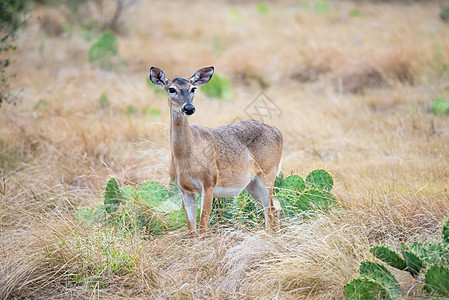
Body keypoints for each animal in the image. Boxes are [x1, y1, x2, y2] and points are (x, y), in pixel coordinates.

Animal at [150, 67, 284, 236]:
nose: (189, 108)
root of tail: (278, 131)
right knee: (275, 205)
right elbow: (191, 230)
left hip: (267, 173)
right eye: (171, 89)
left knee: (270, 210)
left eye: (193, 88)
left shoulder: (209, 183)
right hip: (252, 183)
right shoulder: (184, 189)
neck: (186, 156)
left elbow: (203, 228)